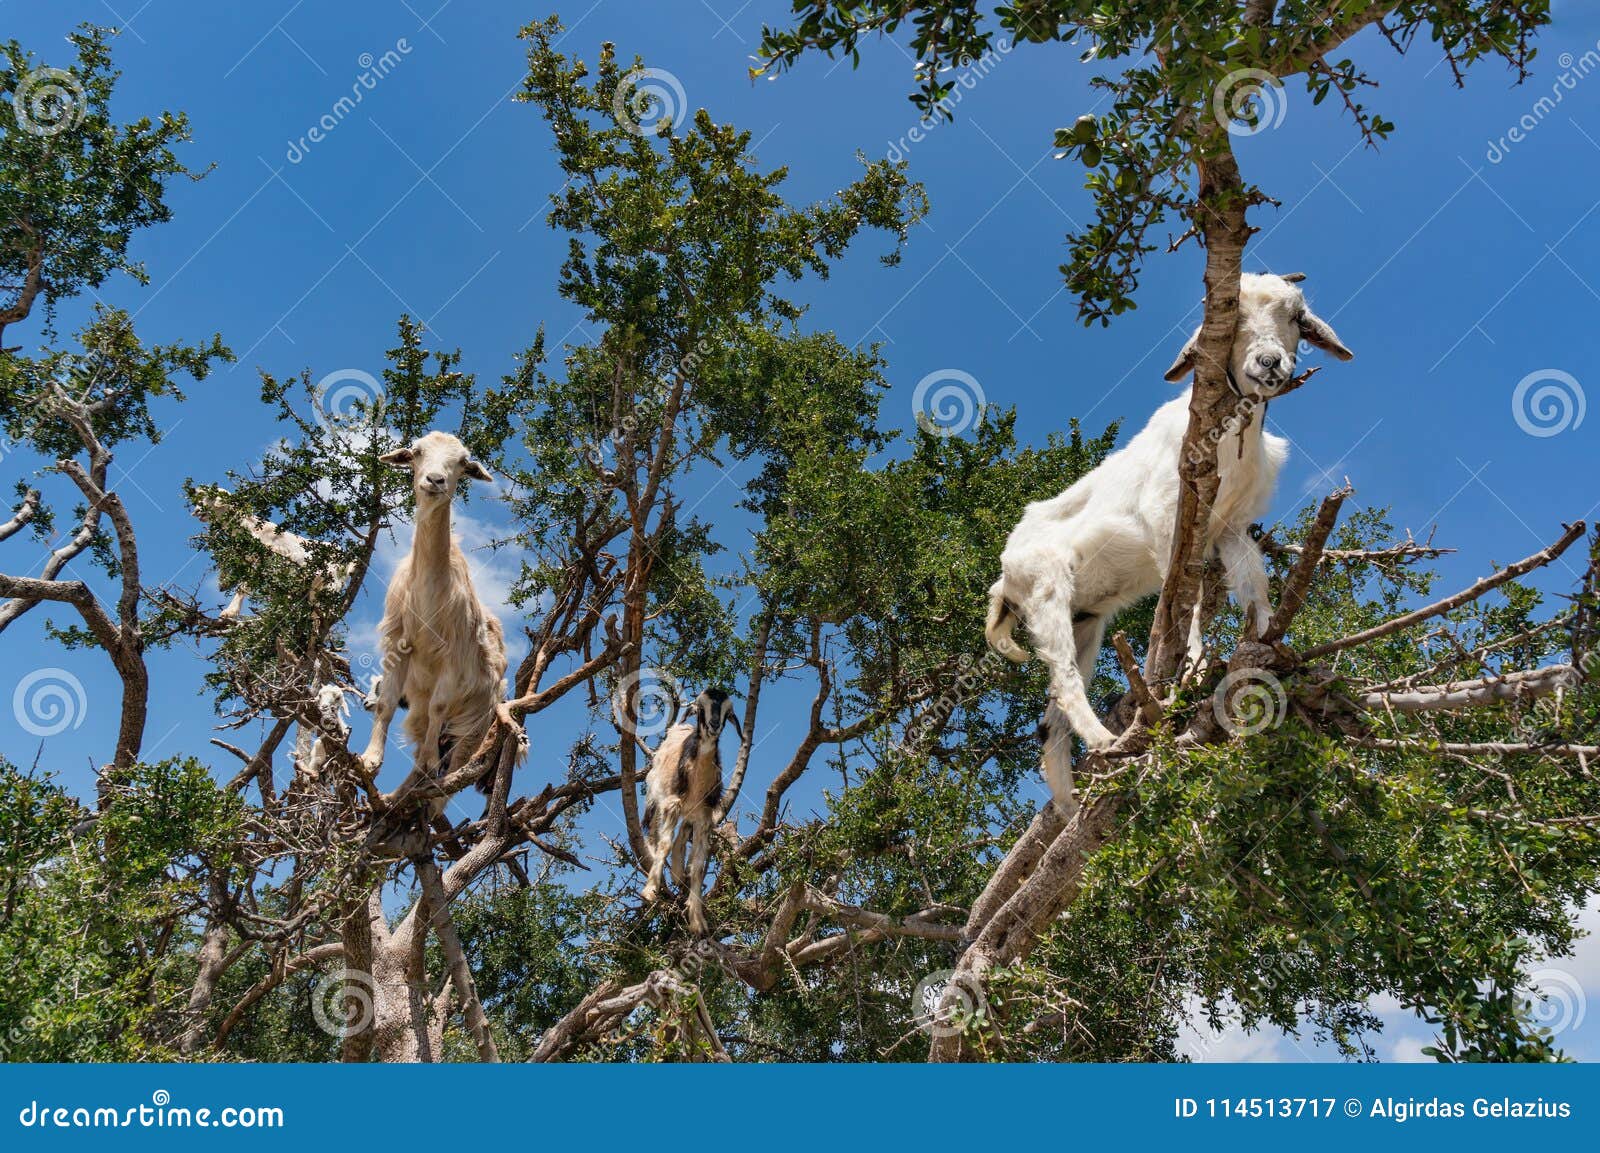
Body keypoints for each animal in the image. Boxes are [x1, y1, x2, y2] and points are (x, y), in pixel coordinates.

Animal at [361, 428, 512, 805]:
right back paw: (399, 796)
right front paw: (370, 760)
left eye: (462, 462)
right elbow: (386, 704)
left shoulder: (453, 659)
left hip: (473, 729)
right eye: (416, 452)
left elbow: (438, 706)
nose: (435, 480)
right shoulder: (398, 643)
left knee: (451, 774)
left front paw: (428, 762)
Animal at [640, 687, 739, 933]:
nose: (714, 724)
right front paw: (650, 891)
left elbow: (698, 865)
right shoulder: (672, 803)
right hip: (655, 795)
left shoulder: (704, 816)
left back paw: (677, 872)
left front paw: (697, 920)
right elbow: (664, 844)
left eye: (728, 712)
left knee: (683, 831)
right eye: (700, 708)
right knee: (654, 833)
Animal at [985, 270, 1350, 809]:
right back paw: (1105, 741)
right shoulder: (1168, 519)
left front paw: (1272, 644)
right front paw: (1195, 663)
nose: (1269, 363)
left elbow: (1254, 585)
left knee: (1049, 720)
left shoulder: (1233, 528)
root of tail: (1004, 576)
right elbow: (1186, 596)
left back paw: (1075, 799)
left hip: (1085, 621)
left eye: (1297, 317)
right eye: (1231, 315)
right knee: (1065, 679)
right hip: (1045, 589)